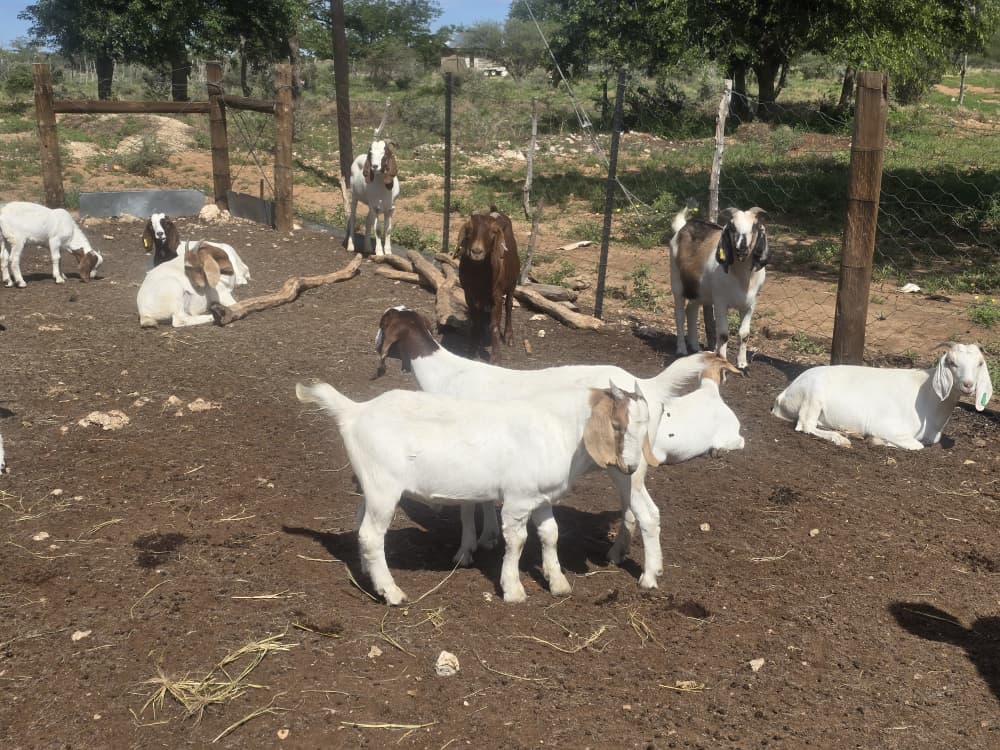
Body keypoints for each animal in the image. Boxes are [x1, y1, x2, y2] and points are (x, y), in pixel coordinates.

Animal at [297, 378, 657, 604]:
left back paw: (367, 575)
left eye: (645, 427)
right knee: (372, 536)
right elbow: (517, 541)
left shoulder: (540, 497)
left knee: (361, 528)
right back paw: (391, 593)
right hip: (384, 485)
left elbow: (550, 534)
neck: (555, 427)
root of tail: (354, 412)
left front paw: (558, 584)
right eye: (616, 425)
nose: (630, 468)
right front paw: (513, 590)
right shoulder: (517, 498)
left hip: (371, 484)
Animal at [374, 306, 712, 584]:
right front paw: (488, 537)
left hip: (627, 465)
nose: (375, 343)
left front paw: (465, 550)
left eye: (383, 323)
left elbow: (467, 508)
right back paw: (616, 554)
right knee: (630, 510)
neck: (446, 375)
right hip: (630, 469)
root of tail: (650, 387)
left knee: (648, 514)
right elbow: (485, 501)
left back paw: (650, 576)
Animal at [455, 208, 521, 361]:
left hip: (512, 283)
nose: (476, 251)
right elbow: (474, 322)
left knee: (509, 305)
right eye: (469, 229)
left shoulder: (496, 295)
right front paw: (472, 350)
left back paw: (508, 336)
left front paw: (495, 358)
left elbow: (494, 326)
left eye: (493, 232)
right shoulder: (469, 293)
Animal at [669, 206, 768, 370]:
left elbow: (744, 334)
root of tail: (682, 227)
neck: (741, 278)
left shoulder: (750, 304)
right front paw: (722, 359)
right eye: (732, 226)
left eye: (755, 226)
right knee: (679, 316)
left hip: (700, 291)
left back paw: (695, 346)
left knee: (691, 309)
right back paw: (682, 349)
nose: (741, 248)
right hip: (677, 283)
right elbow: (723, 333)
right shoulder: (720, 302)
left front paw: (742, 364)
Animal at [771, 343, 993, 449]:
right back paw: (841, 439)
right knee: (805, 425)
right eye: (952, 363)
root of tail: (783, 395)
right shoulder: (887, 426)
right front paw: (876, 441)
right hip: (812, 396)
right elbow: (917, 446)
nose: (968, 385)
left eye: (980, 363)